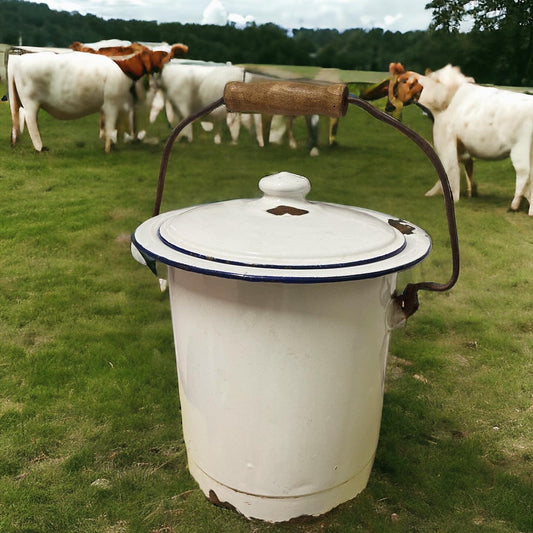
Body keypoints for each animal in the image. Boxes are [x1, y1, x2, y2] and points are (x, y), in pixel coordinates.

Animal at [7, 51, 135, 152]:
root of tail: (18, 59)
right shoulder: (111, 104)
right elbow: (110, 125)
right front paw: (108, 149)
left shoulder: (106, 107)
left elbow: (104, 124)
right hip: (30, 100)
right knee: (30, 120)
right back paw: (40, 148)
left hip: (17, 100)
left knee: (15, 117)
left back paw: (15, 142)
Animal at [386, 62, 532, 212]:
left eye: (397, 85)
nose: (388, 107)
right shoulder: (461, 147)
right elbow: (467, 165)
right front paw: (471, 191)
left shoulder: (445, 139)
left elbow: (448, 167)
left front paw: (450, 197)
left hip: (520, 150)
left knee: (524, 174)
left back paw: (515, 205)